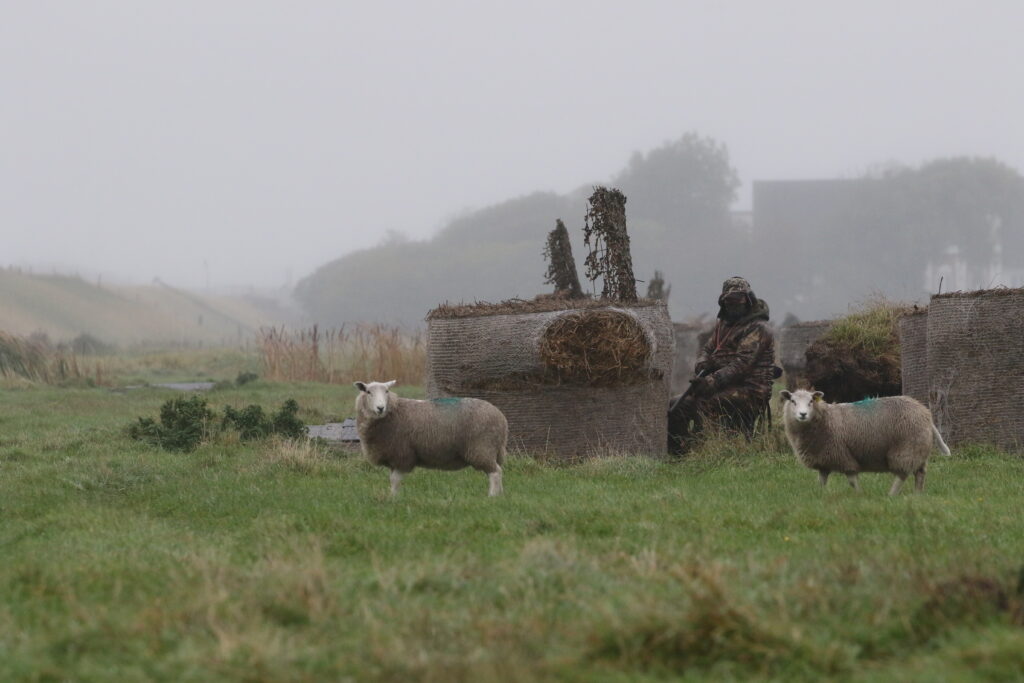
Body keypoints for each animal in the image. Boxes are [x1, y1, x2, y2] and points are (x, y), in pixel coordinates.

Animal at [354, 378, 509, 497]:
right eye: (368, 392)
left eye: (386, 391)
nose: (380, 408)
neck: (393, 411)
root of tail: (501, 418)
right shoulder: (394, 457)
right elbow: (392, 480)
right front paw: (393, 496)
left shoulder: (402, 454)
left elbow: (395, 480)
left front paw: (393, 499)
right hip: (489, 449)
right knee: (498, 471)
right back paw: (500, 495)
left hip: (482, 448)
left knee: (495, 472)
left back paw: (492, 496)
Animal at [782, 389, 950, 497]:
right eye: (793, 401)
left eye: (811, 401)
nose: (802, 414)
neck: (825, 419)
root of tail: (926, 414)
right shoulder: (824, 460)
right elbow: (822, 481)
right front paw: (821, 496)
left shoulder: (843, 456)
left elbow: (852, 480)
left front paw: (859, 495)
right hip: (918, 450)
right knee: (920, 474)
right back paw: (917, 494)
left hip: (906, 449)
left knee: (902, 474)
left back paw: (891, 495)